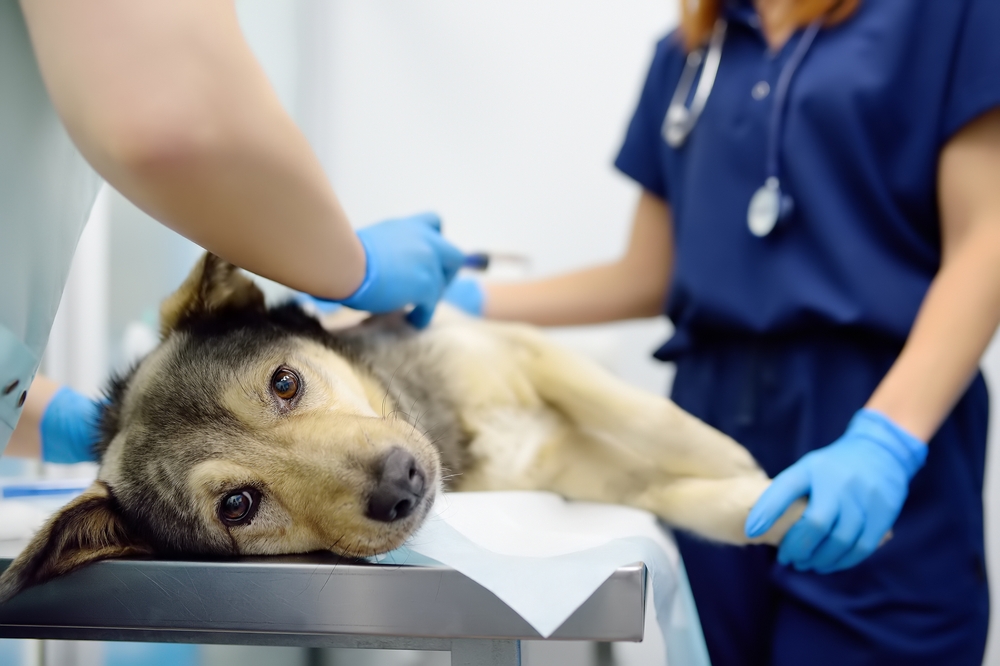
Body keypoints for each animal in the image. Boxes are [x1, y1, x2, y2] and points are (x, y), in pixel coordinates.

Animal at [0, 252, 800, 600]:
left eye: (285, 383)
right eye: (238, 505)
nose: (402, 484)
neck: (446, 426)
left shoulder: (526, 352)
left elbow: (650, 419)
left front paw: (753, 468)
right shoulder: (579, 467)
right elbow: (694, 499)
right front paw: (780, 506)